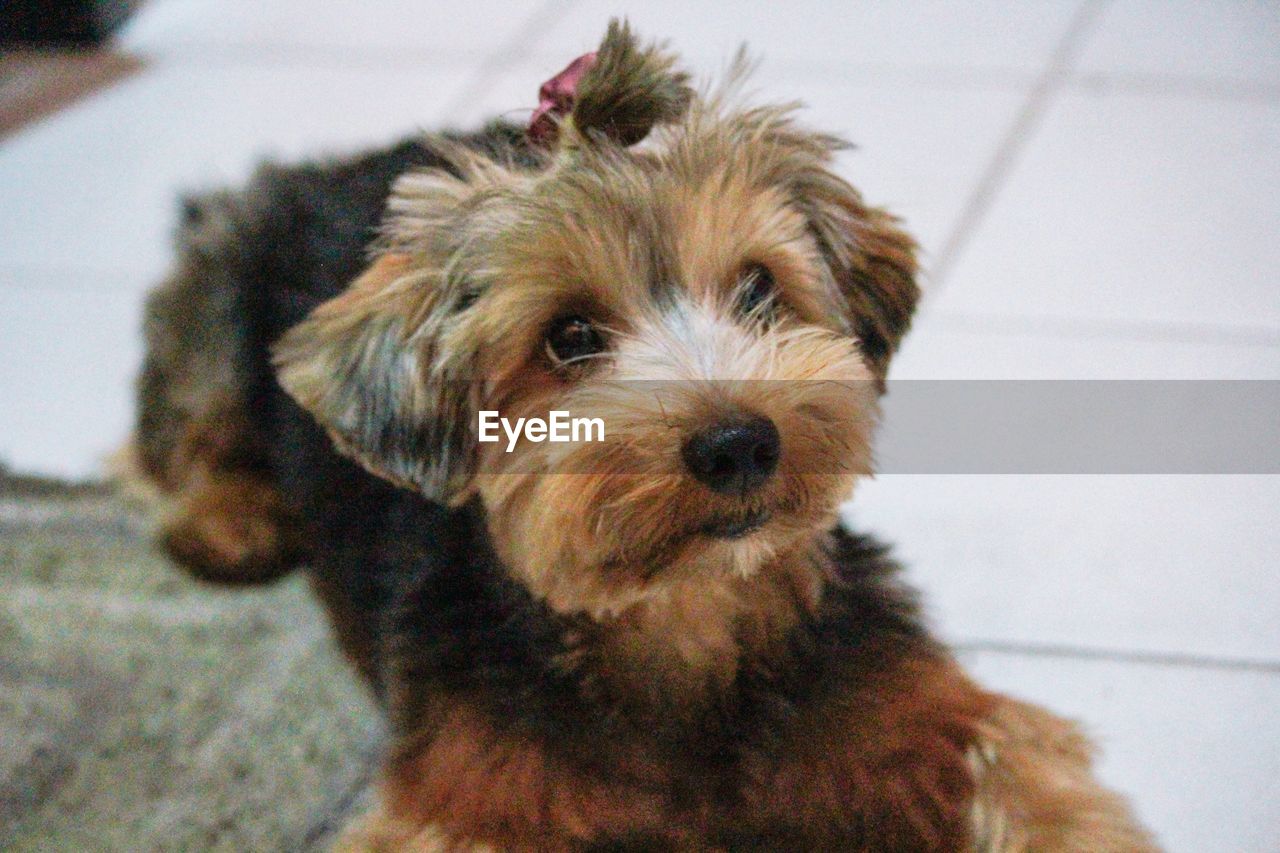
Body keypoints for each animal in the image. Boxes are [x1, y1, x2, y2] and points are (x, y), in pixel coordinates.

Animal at [135, 21, 1157, 850]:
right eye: (569, 337)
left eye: (758, 287)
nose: (739, 441)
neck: (684, 614)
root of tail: (320, 168)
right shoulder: (479, 790)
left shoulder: (910, 709)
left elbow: (1023, 778)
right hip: (222, 280)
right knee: (174, 424)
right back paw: (229, 517)